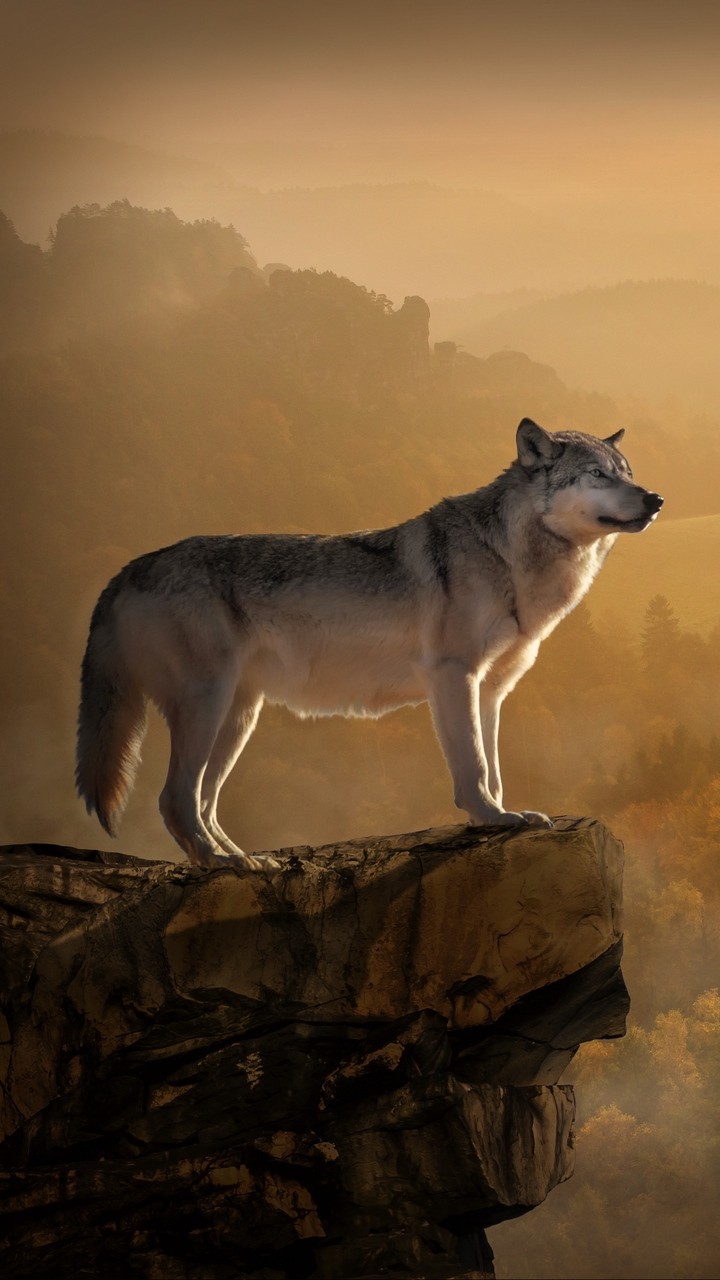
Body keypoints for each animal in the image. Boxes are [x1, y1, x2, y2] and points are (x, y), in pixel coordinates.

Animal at [76, 419, 662, 871]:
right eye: (598, 474)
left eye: (628, 472)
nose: (657, 498)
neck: (510, 556)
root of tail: (128, 569)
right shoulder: (454, 676)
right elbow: (473, 767)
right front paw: (491, 818)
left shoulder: (491, 691)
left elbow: (494, 768)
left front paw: (503, 816)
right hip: (209, 705)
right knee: (176, 798)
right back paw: (219, 864)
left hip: (239, 717)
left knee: (204, 801)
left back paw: (245, 860)